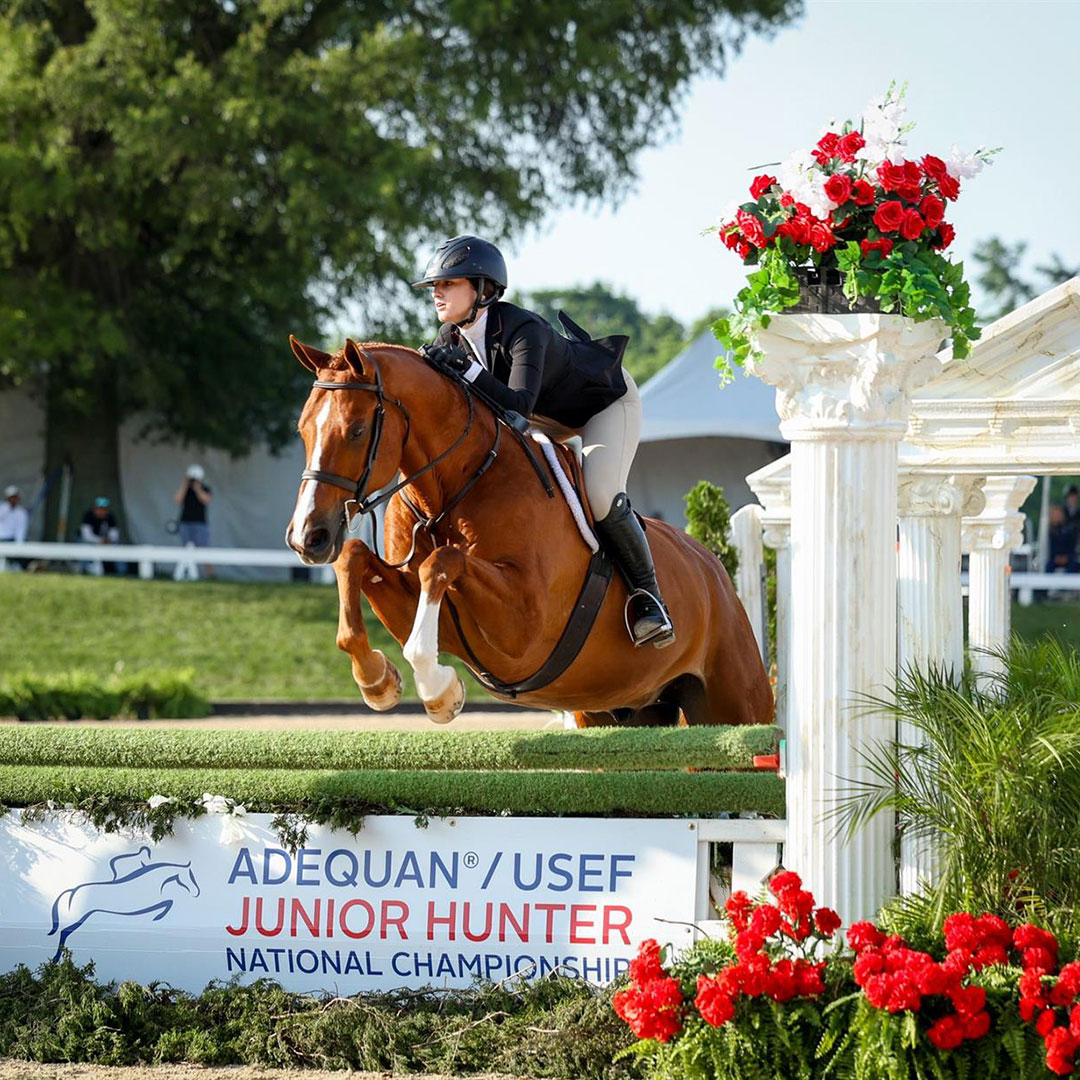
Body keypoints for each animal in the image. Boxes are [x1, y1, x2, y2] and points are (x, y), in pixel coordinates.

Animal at [286, 337, 771, 728]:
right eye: (303, 429)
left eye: (356, 431)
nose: (307, 538)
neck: (452, 489)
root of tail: (712, 568)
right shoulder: (409, 602)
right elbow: (354, 558)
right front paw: (378, 681)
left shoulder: (524, 625)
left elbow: (442, 562)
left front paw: (440, 691)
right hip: (621, 711)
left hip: (734, 704)